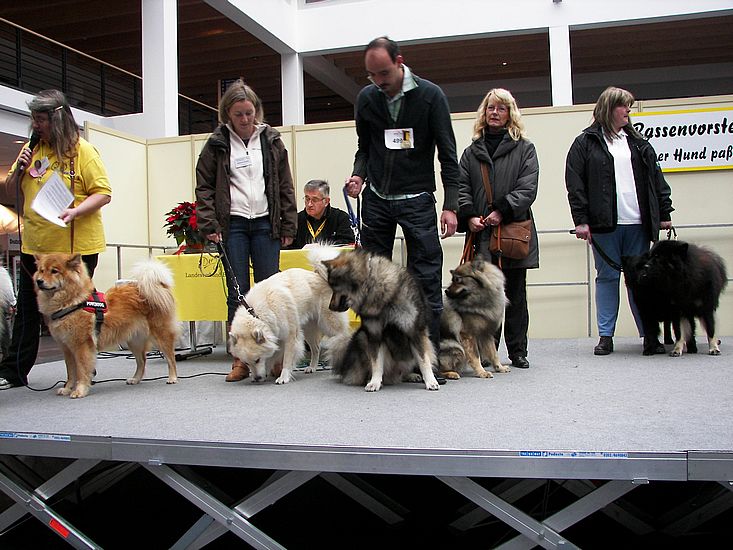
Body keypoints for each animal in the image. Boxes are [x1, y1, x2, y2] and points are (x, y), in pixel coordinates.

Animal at [34, 253, 179, 398]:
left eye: (54, 271)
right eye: (41, 270)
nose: (39, 281)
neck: (72, 303)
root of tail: (158, 286)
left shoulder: (82, 346)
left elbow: (81, 371)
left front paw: (80, 390)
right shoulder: (67, 348)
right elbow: (71, 372)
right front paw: (67, 388)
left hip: (160, 335)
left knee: (170, 357)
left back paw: (172, 378)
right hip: (134, 341)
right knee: (142, 361)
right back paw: (135, 379)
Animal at [227, 246, 351, 385]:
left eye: (257, 360)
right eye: (246, 363)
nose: (257, 379)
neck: (256, 313)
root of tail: (318, 275)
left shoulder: (290, 336)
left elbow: (286, 359)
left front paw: (283, 377)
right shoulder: (276, 337)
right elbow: (271, 356)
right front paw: (266, 373)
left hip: (328, 324)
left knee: (342, 336)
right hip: (308, 330)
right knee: (316, 348)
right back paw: (312, 367)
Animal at [322, 248, 439, 392]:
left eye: (334, 288)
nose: (330, 307)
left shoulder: (414, 332)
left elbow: (423, 360)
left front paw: (430, 381)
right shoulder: (374, 335)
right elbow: (376, 363)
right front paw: (374, 382)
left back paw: (411, 375)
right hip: (362, 338)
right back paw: (372, 379)